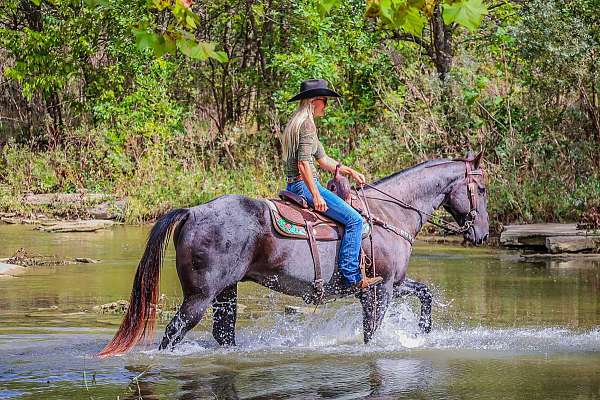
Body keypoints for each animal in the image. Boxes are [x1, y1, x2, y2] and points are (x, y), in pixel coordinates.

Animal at [98, 152, 488, 356]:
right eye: (481, 188)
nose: (483, 234)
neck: (389, 214)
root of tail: (192, 211)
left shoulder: (393, 284)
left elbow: (426, 293)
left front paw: (422, 333)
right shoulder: (381, 290)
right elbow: (372, 333)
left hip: (226, 293)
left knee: (224, 334)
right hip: (199, 296)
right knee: (173, 332)